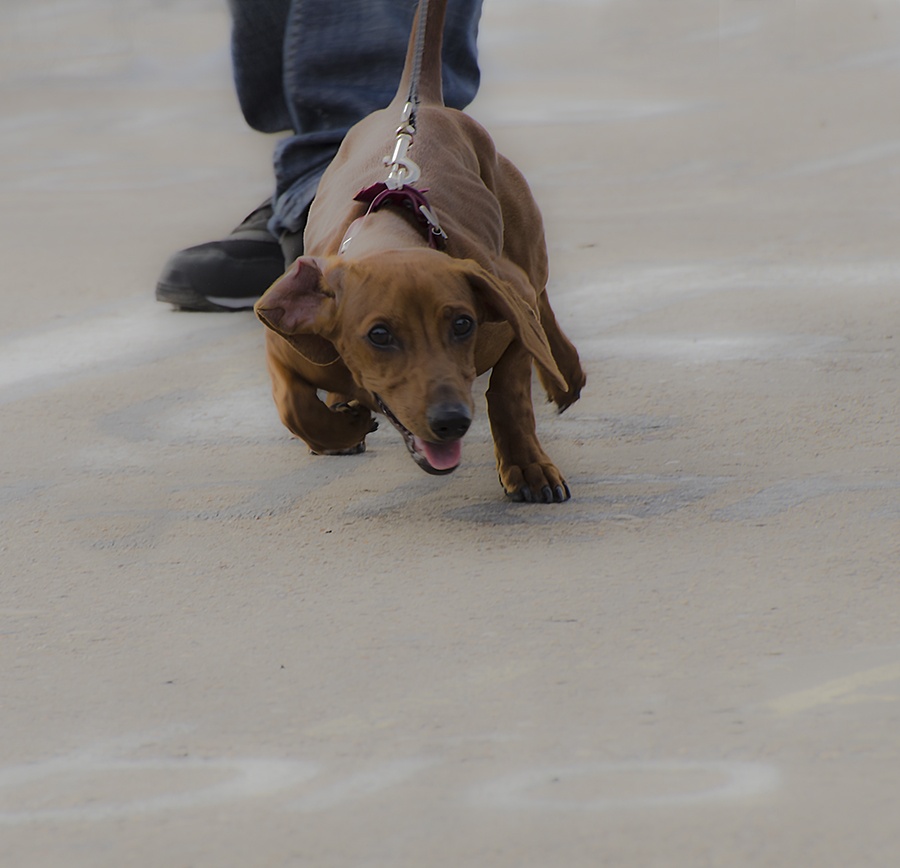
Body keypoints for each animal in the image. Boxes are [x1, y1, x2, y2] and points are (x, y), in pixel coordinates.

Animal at [256, 0, 588, 502]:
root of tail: (419, 103)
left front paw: (528, 468)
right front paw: (342, 427)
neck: (390, 230)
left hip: (525, 247)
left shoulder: (508, 304)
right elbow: (293, 405)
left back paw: (564, 373)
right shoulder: (284, 347)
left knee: (542, 306)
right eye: (379, 335)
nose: (451, 422)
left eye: (463, 324)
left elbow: (508, 390)